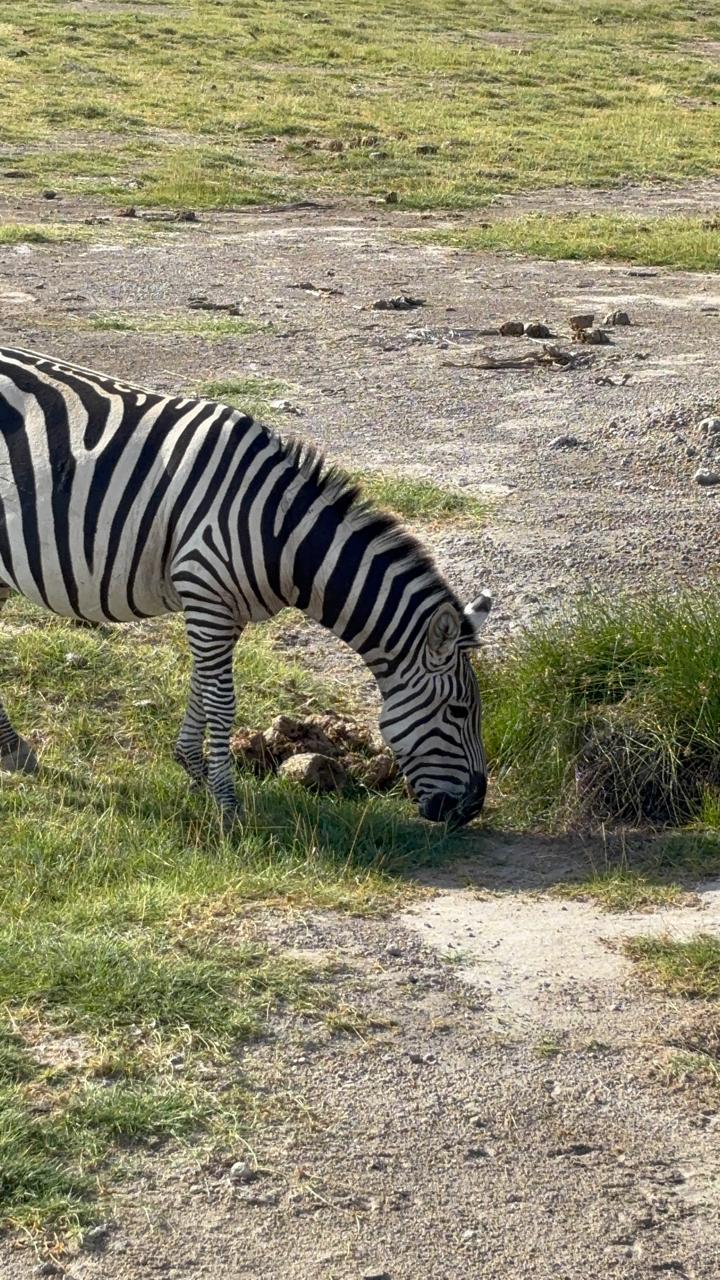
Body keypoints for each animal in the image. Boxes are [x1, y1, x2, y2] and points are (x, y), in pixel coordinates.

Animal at [0, 345, 492, 827]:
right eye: (458, 711)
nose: (471, 809)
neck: (280, 530)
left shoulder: (225, 611)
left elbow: (201, 689)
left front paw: (194, 771)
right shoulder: (206, 594)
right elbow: (222, 702)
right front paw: (228, 807)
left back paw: (13, 751)